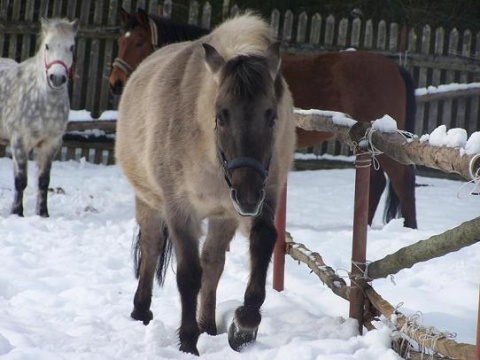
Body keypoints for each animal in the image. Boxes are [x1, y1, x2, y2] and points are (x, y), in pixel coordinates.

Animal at [0, 18, 79, 217]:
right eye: (47, 46)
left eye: (71, 47)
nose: (57, 78)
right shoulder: (19, 143)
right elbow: (21, 180)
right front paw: (17, 212)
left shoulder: (51, 144)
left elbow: (43, 180)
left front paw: (42, 213)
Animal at [116, 14, 296, 354]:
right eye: (221, 115)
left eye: (271, 116)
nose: (248, 195)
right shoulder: (180, 210)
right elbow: (188, 274)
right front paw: (187, 340)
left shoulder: (261, 198)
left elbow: (262, 240)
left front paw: (245, 324)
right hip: (147, 201)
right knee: (151, 247)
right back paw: (141, 311)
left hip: (225, 214)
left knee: (213, 262)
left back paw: (209, 325)